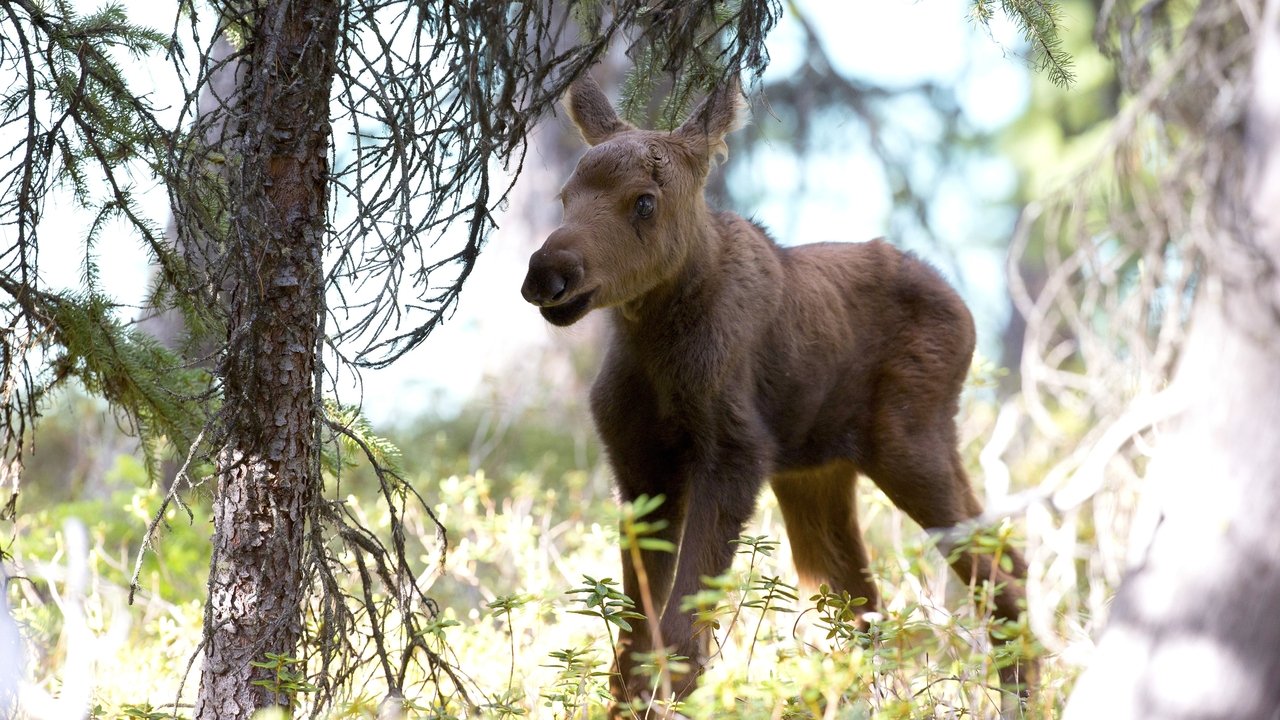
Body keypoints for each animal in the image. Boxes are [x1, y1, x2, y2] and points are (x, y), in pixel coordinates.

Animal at [524, 73, 1034, 712]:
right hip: (818, 474)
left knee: (998, 572)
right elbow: (633, 643)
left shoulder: (735, 454)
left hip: (909, 441)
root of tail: (966, 312)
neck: (654, 347)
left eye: (644, 200)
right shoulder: (638, 467)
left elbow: (681, 637)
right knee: (875, 602)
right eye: (565, 196)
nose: (546, 274)